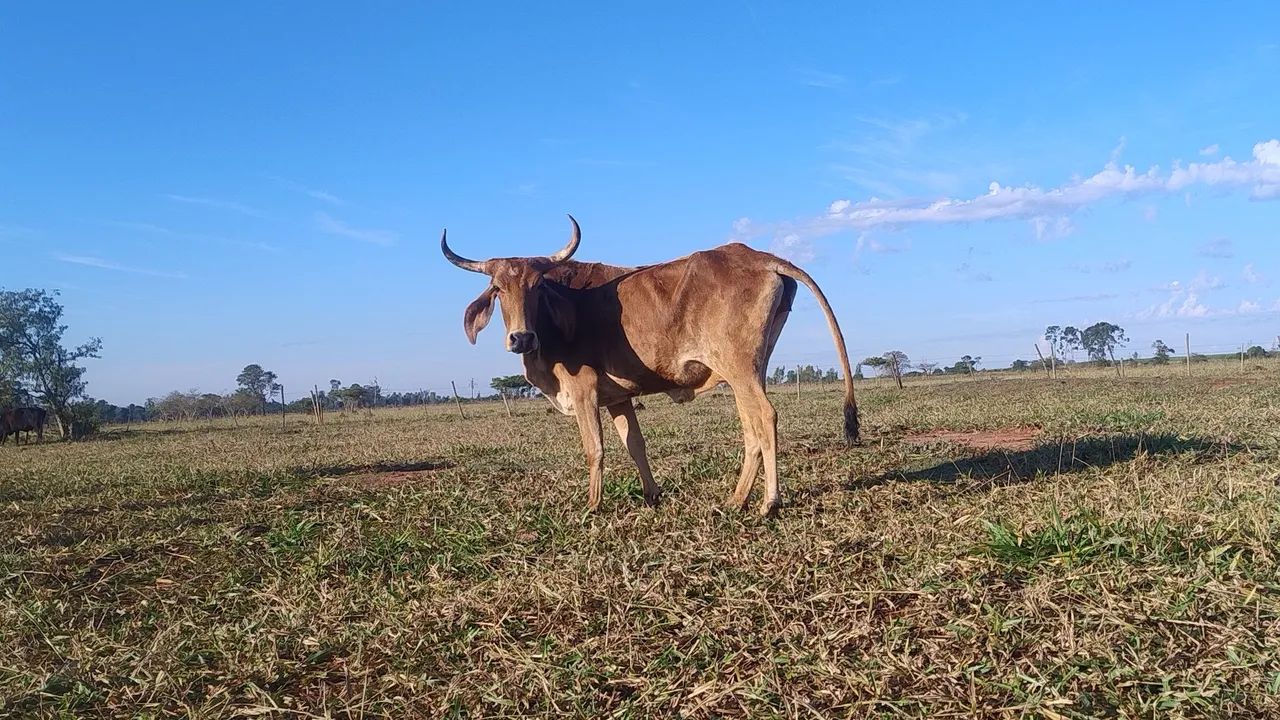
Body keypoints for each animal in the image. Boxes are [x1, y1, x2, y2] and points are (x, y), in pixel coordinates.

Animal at [442, 215, 858, 516]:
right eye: (497, 289)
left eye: (537, 286)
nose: (521, 339)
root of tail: (757, 256)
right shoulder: (618, 398)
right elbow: (635, 445)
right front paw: (652, 494)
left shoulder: (584, 391)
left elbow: (595, 448)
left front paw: (592, 506)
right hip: (748, 370)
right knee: (750, 426)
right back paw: (737, 499)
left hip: (739, 367)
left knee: (765, 417)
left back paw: (768, 503)